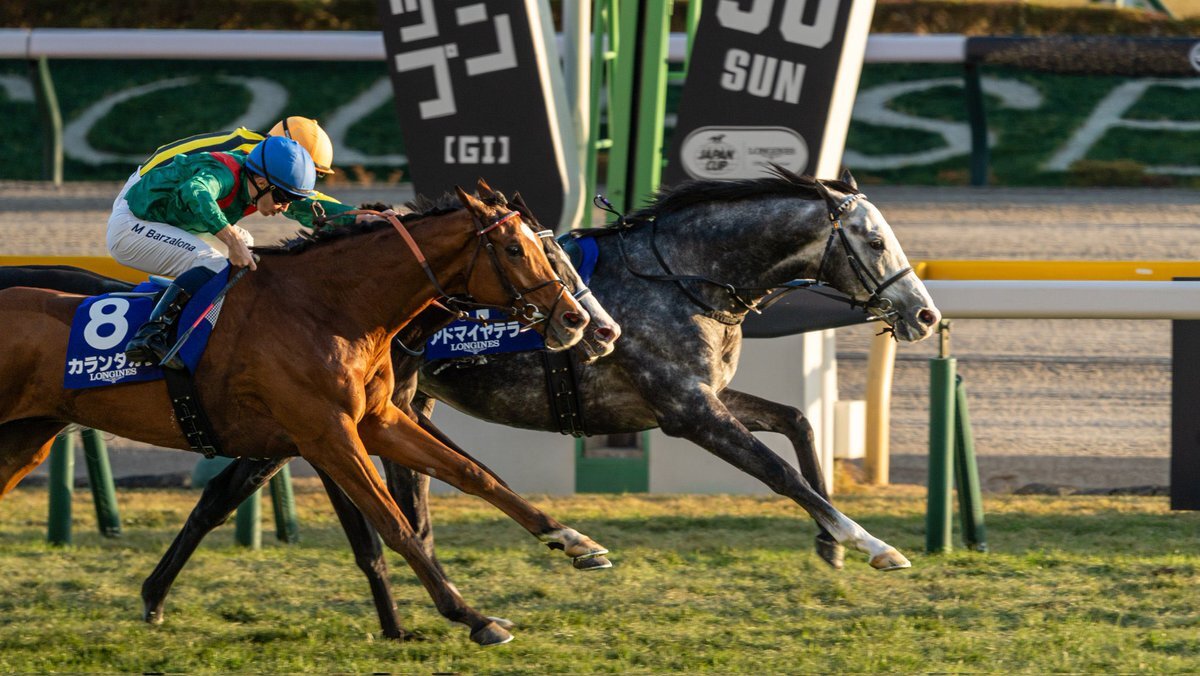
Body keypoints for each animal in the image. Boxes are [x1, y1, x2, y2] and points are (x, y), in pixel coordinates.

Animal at [0, 186, 613, 646]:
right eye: (514, 251)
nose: (581, 322)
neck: (330, 308)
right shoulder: (326, 436)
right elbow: (392, 525)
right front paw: (472, 618)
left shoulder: (375, 422)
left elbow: (474, 474)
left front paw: (573, 540)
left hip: (25, 439)